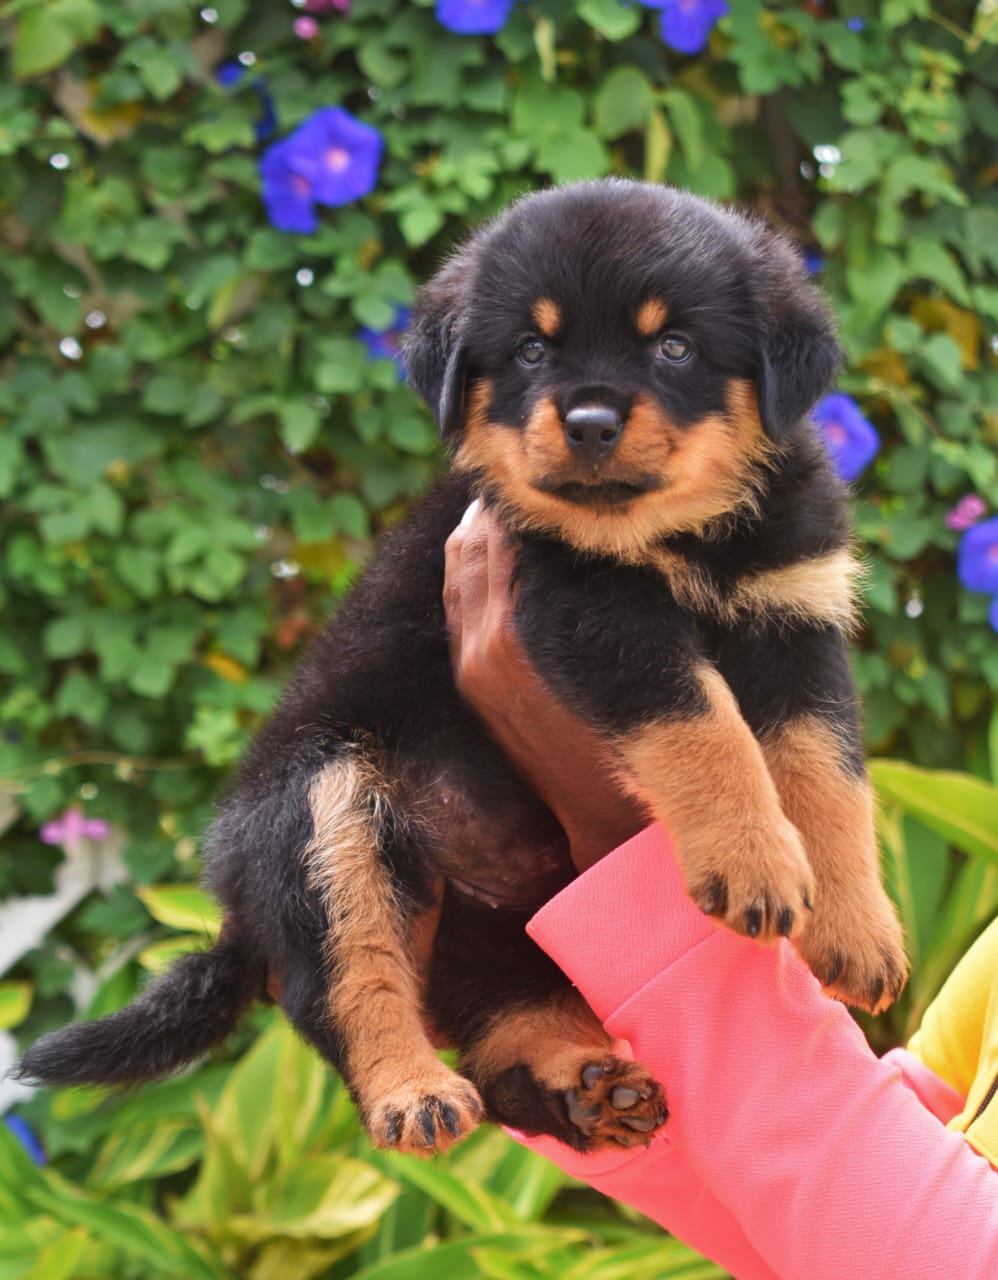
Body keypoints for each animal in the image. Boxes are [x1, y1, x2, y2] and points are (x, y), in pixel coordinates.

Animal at [19, 183, 905, 1162]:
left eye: (674, 345)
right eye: (530, 349)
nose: (589, 423)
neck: (683, 538)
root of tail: (239, 914)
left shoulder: (796, 617)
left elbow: (828, 775)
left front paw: (856, 932)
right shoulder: (587, 608)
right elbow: (700, 723)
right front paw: (751, 862)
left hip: (496, 929)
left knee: (502, 1024)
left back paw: (585, 1090)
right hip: (318, 804)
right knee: (346, 987)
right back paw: (415, 1092)